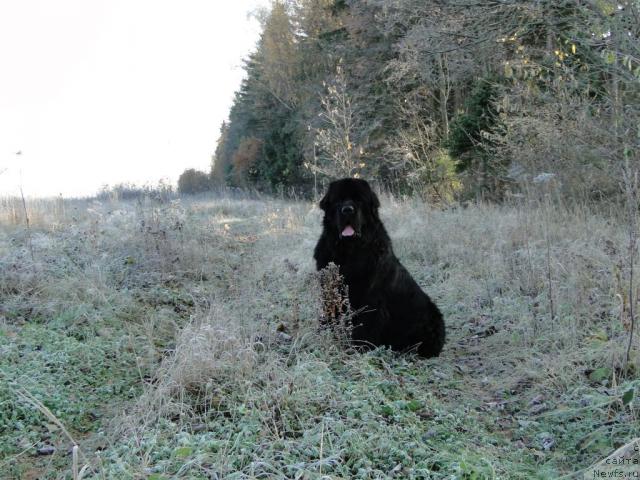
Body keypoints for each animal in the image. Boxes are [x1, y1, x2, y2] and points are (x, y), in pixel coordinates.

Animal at [312, 178, 442, 358]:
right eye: (338, 200)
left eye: (359, 200)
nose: (347, 210)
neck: (349, 252)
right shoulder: (330, 291)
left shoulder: (370, 301)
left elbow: (363, 329)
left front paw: (357, 351)